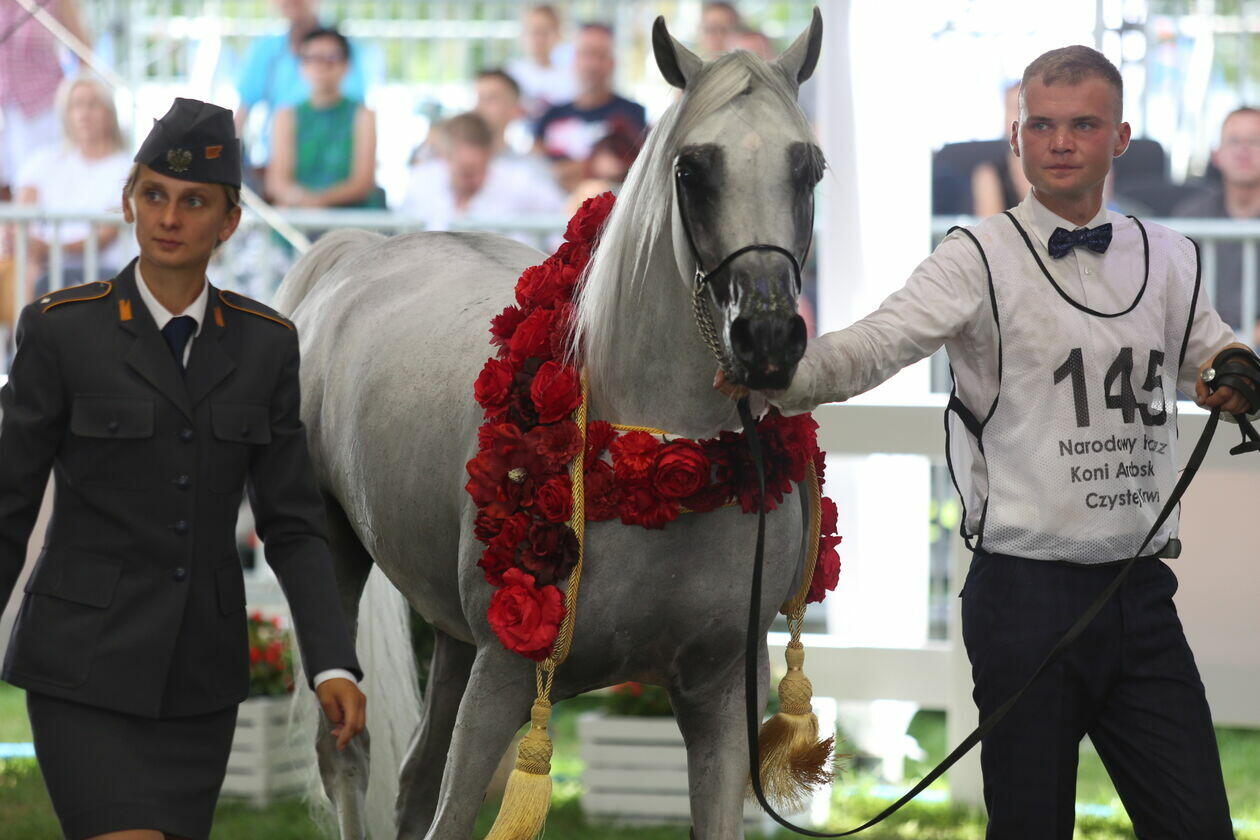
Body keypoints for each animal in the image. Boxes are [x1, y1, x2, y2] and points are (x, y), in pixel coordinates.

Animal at [275, 11, 827, 839]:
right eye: (691, 169)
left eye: (811, 167)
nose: (765, 336)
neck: (656, 465)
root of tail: (354, 254)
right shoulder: (505, 680)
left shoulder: (725, 692)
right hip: (337, 562)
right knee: (346, 751)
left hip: (453, 639)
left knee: (413, 777)